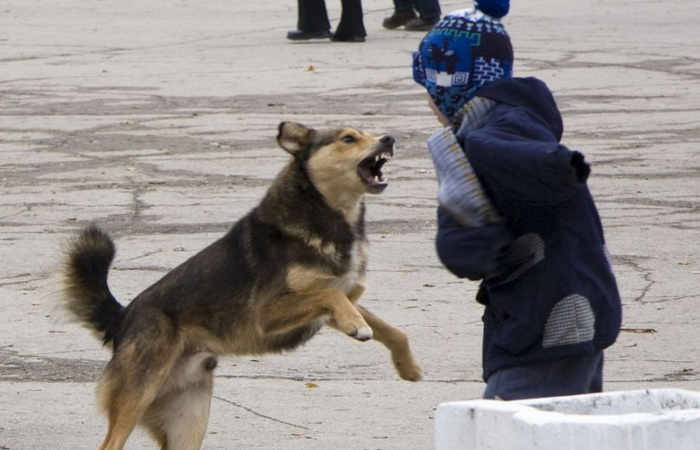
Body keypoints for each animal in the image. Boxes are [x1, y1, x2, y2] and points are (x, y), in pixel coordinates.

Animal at [61, 121, 422, 450]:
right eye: (348, 138)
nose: (389, 138)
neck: (328, 215)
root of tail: (122, 319)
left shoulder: (340, 301)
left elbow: (392, 330)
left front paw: (408, 367)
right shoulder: (270, 313)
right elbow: (330, 294)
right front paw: (358, 328)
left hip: (188, 421)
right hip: (138, 393)